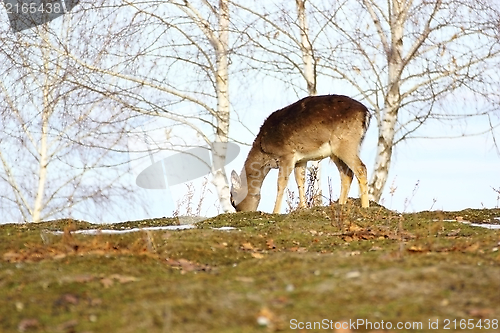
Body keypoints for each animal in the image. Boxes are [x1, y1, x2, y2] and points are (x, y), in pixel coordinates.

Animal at [231, 94, 372, 213]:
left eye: (233, 201)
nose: (242, 213)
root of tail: (366, 113)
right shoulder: (301, 159)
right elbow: (300, 180)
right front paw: (303, 207)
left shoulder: (287, 154)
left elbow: (281, 184)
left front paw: (275, 212)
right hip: (335, 151)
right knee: (347, 174)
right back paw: (341, 204)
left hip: (345, 143)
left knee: (360, 168)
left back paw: (365, 206)